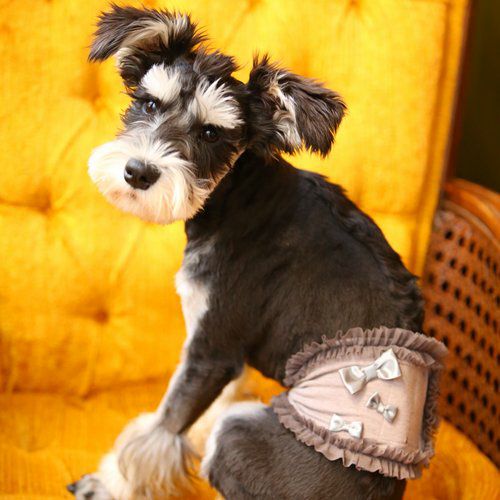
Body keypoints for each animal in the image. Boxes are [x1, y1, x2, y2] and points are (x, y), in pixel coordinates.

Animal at [68, 5, 423, 499]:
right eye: (150, 103)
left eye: (211, 133)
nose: (138, 172)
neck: (240, 198)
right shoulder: (227, 350)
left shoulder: (211, 348)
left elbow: (159, 428)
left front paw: (109, 483)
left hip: (239, 432)